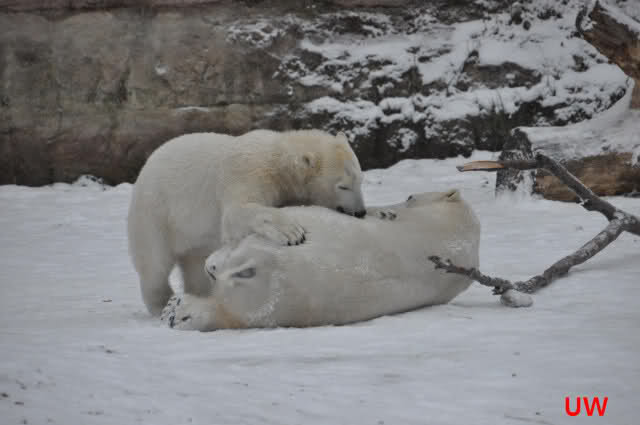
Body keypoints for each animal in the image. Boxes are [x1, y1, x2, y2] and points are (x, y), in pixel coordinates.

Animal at [128, 129, 366, 315]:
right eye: (343, 186)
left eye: (360, 179)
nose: (360, 212)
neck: (278, 159)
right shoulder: (247, 173)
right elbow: (237, 212)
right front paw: (291, 232)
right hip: (156, 212)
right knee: (154, 264)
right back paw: (160, 304)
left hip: (192, 234)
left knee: (195, 262)